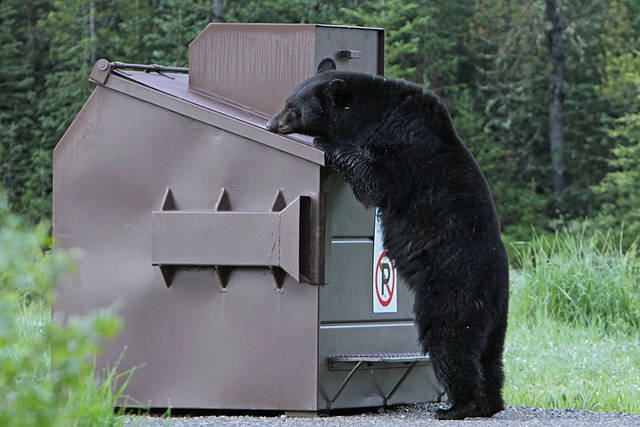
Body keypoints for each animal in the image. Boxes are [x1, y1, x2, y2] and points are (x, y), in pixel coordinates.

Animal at [267, 60, 509, 420]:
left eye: (293, 107)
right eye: (287, 99)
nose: (271, 123)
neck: (375, 113)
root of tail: (494, 288)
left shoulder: (403, 145)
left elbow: (377, 182)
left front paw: (327, 142)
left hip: (452, 291)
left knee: (450, 341)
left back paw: (459, 405)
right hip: (496, 317)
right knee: (490, 356)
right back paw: (490, 402)